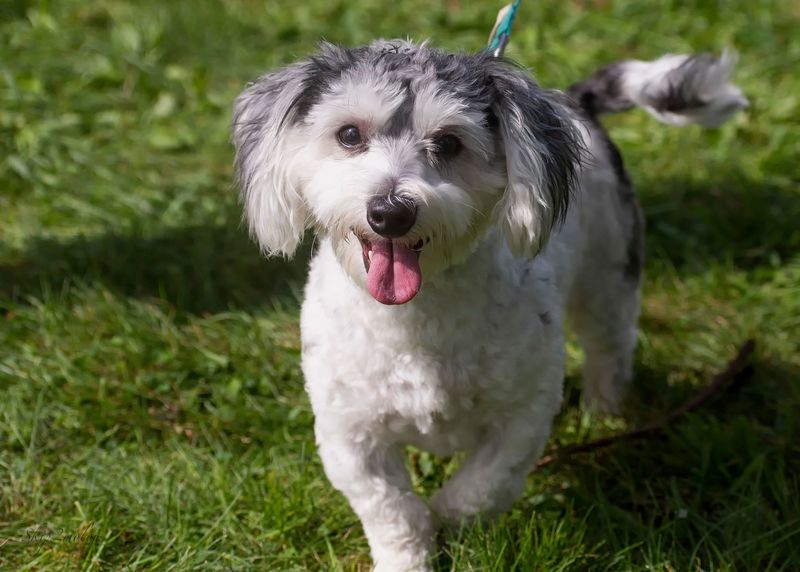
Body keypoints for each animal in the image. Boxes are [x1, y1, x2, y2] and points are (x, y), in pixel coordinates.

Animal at [231, 41, 752, 572]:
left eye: (448, 143)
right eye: (350, 134)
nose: (390, 212)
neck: (417, 320)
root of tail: (577, 102)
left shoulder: (522, 414)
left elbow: (480, 489)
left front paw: (449, 521)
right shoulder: (351, 434)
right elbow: (392, 510)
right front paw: (410, 553)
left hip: (609, 277)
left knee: (611, 347)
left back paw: (603, 413)